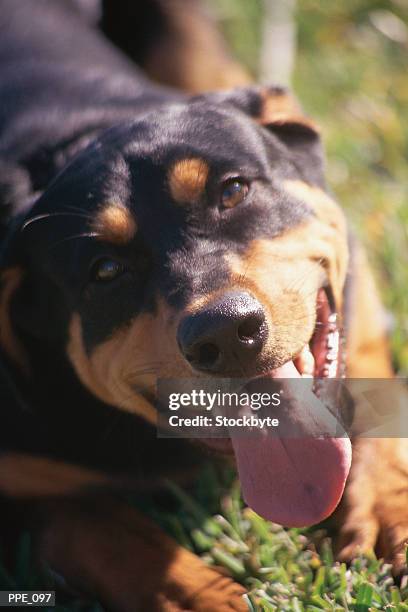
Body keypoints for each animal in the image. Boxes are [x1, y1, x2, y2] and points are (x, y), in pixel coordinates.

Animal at [0, 1, 406, 612]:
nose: (226, 333)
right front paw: (214, 599)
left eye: (233, 190)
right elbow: (111, 535)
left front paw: (386, 508)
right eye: (105, 271)